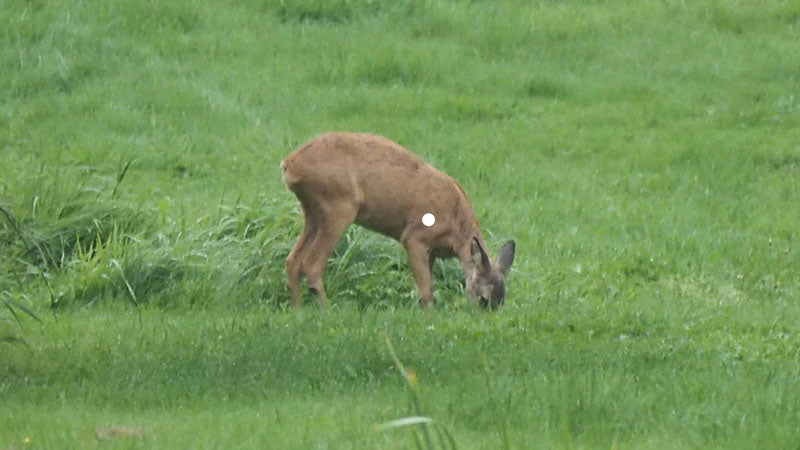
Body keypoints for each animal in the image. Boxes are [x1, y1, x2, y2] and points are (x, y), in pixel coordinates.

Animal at [282, 133, 520, 310]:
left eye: (501, 302)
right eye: (484, 298)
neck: (456, 230)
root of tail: (289, 165)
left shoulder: (431, 251)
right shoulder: (415, 237)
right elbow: (426, 290)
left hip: (313, 212)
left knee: (293, 260)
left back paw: (298, 310)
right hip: (338, 208)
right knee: (312, 264)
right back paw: (326, 310)